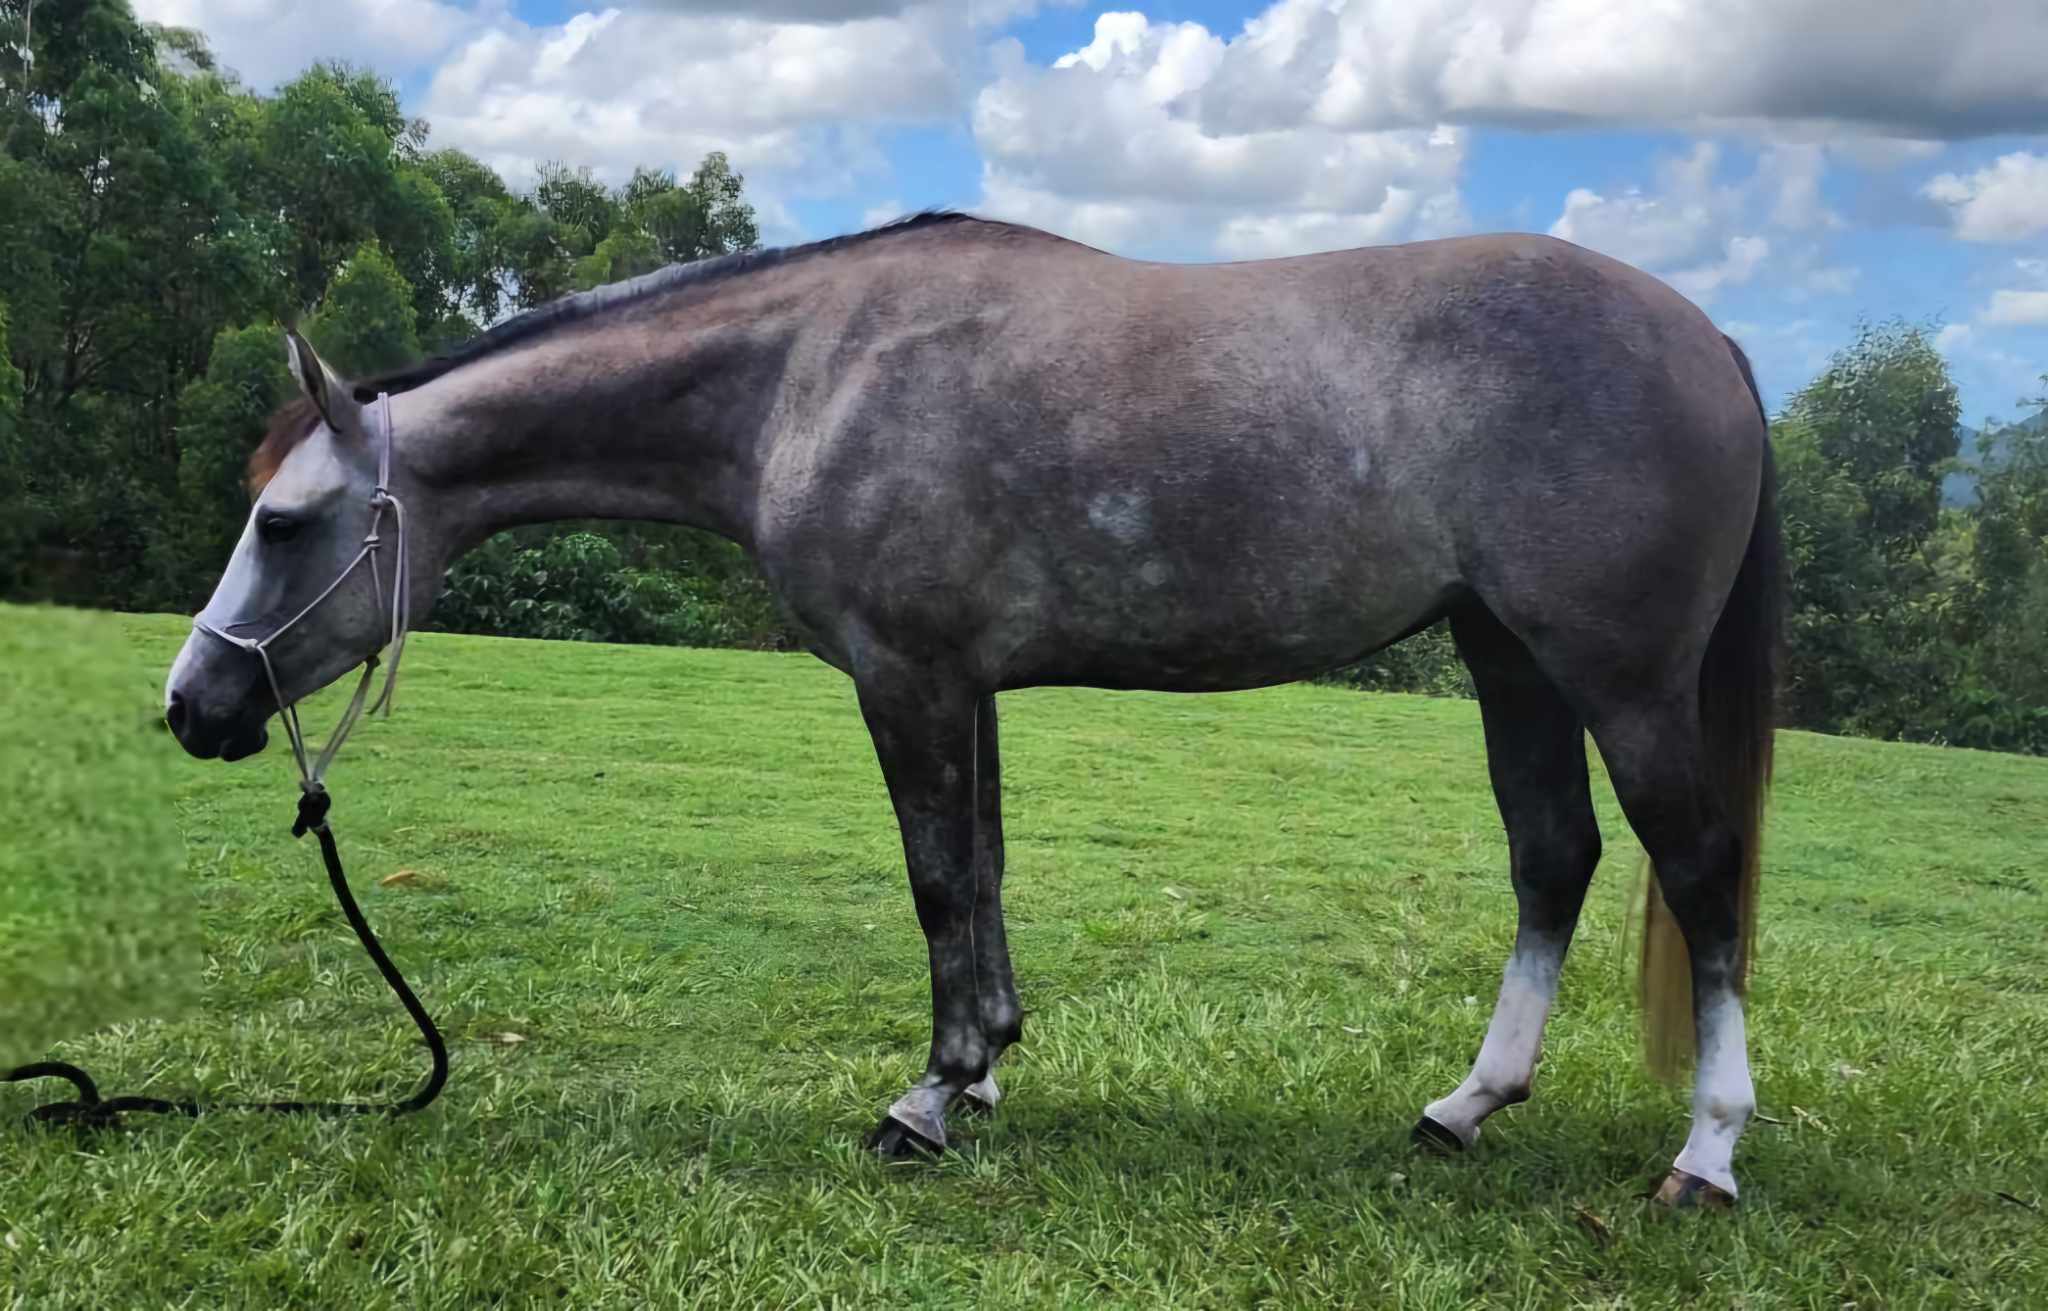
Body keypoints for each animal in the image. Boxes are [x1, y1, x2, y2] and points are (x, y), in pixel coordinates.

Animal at [163, 213, 1779, 1207]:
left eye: (288, 523)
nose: (192, 703)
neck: (809, 373)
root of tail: (1711, 339)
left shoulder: (911, 675)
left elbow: (938, 880)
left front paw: (927, 1101)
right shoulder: (967, 685)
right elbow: (986, 873)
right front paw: (991, 1063)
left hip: (1616, 677)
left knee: (1699, 875)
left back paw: (1706, 1154)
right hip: (1510, 660)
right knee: (1553, 858)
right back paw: (1464, 1104)